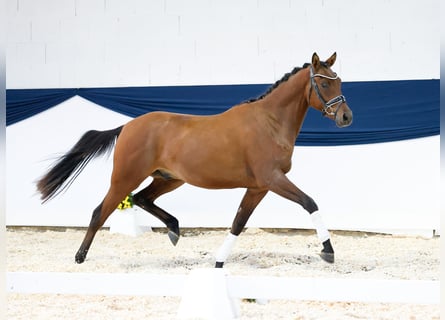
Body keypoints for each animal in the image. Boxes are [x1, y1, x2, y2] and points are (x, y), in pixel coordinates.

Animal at [36, 53, 352, 268]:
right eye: (323, 84)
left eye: (339, 81)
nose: (346, 117)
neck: (270, 122)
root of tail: (127, 126)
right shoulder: (272, 179)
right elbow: (310, 202)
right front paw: (328, 251)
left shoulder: (258, 187)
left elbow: (238, 223)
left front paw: (219, 262)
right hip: (125, 178)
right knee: (100, 211)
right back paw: (80, 257)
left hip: (169, 179)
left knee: (141, 199)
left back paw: (174, 229)